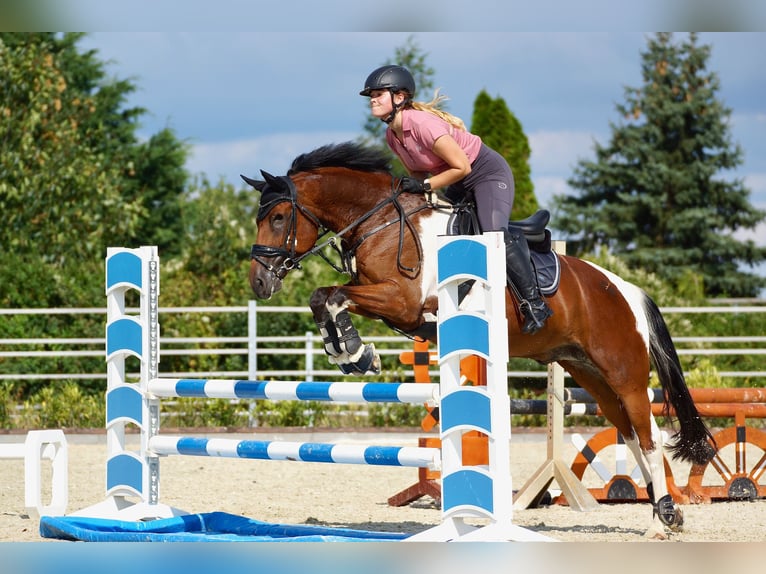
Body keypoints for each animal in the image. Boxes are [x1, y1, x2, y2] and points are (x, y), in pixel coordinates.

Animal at [244, 140, 720, 540]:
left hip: (624, 373)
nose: (259, 283)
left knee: (649, 436)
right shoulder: (382, 298)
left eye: (279, 218)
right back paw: (665, 514)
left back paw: (661, 522)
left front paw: (358, 355)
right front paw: (346, 350)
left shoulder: (402, 302)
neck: (383, 222)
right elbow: (324, 297)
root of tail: (624, 289)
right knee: (631, 435)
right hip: (591, 375)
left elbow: (332, 295)